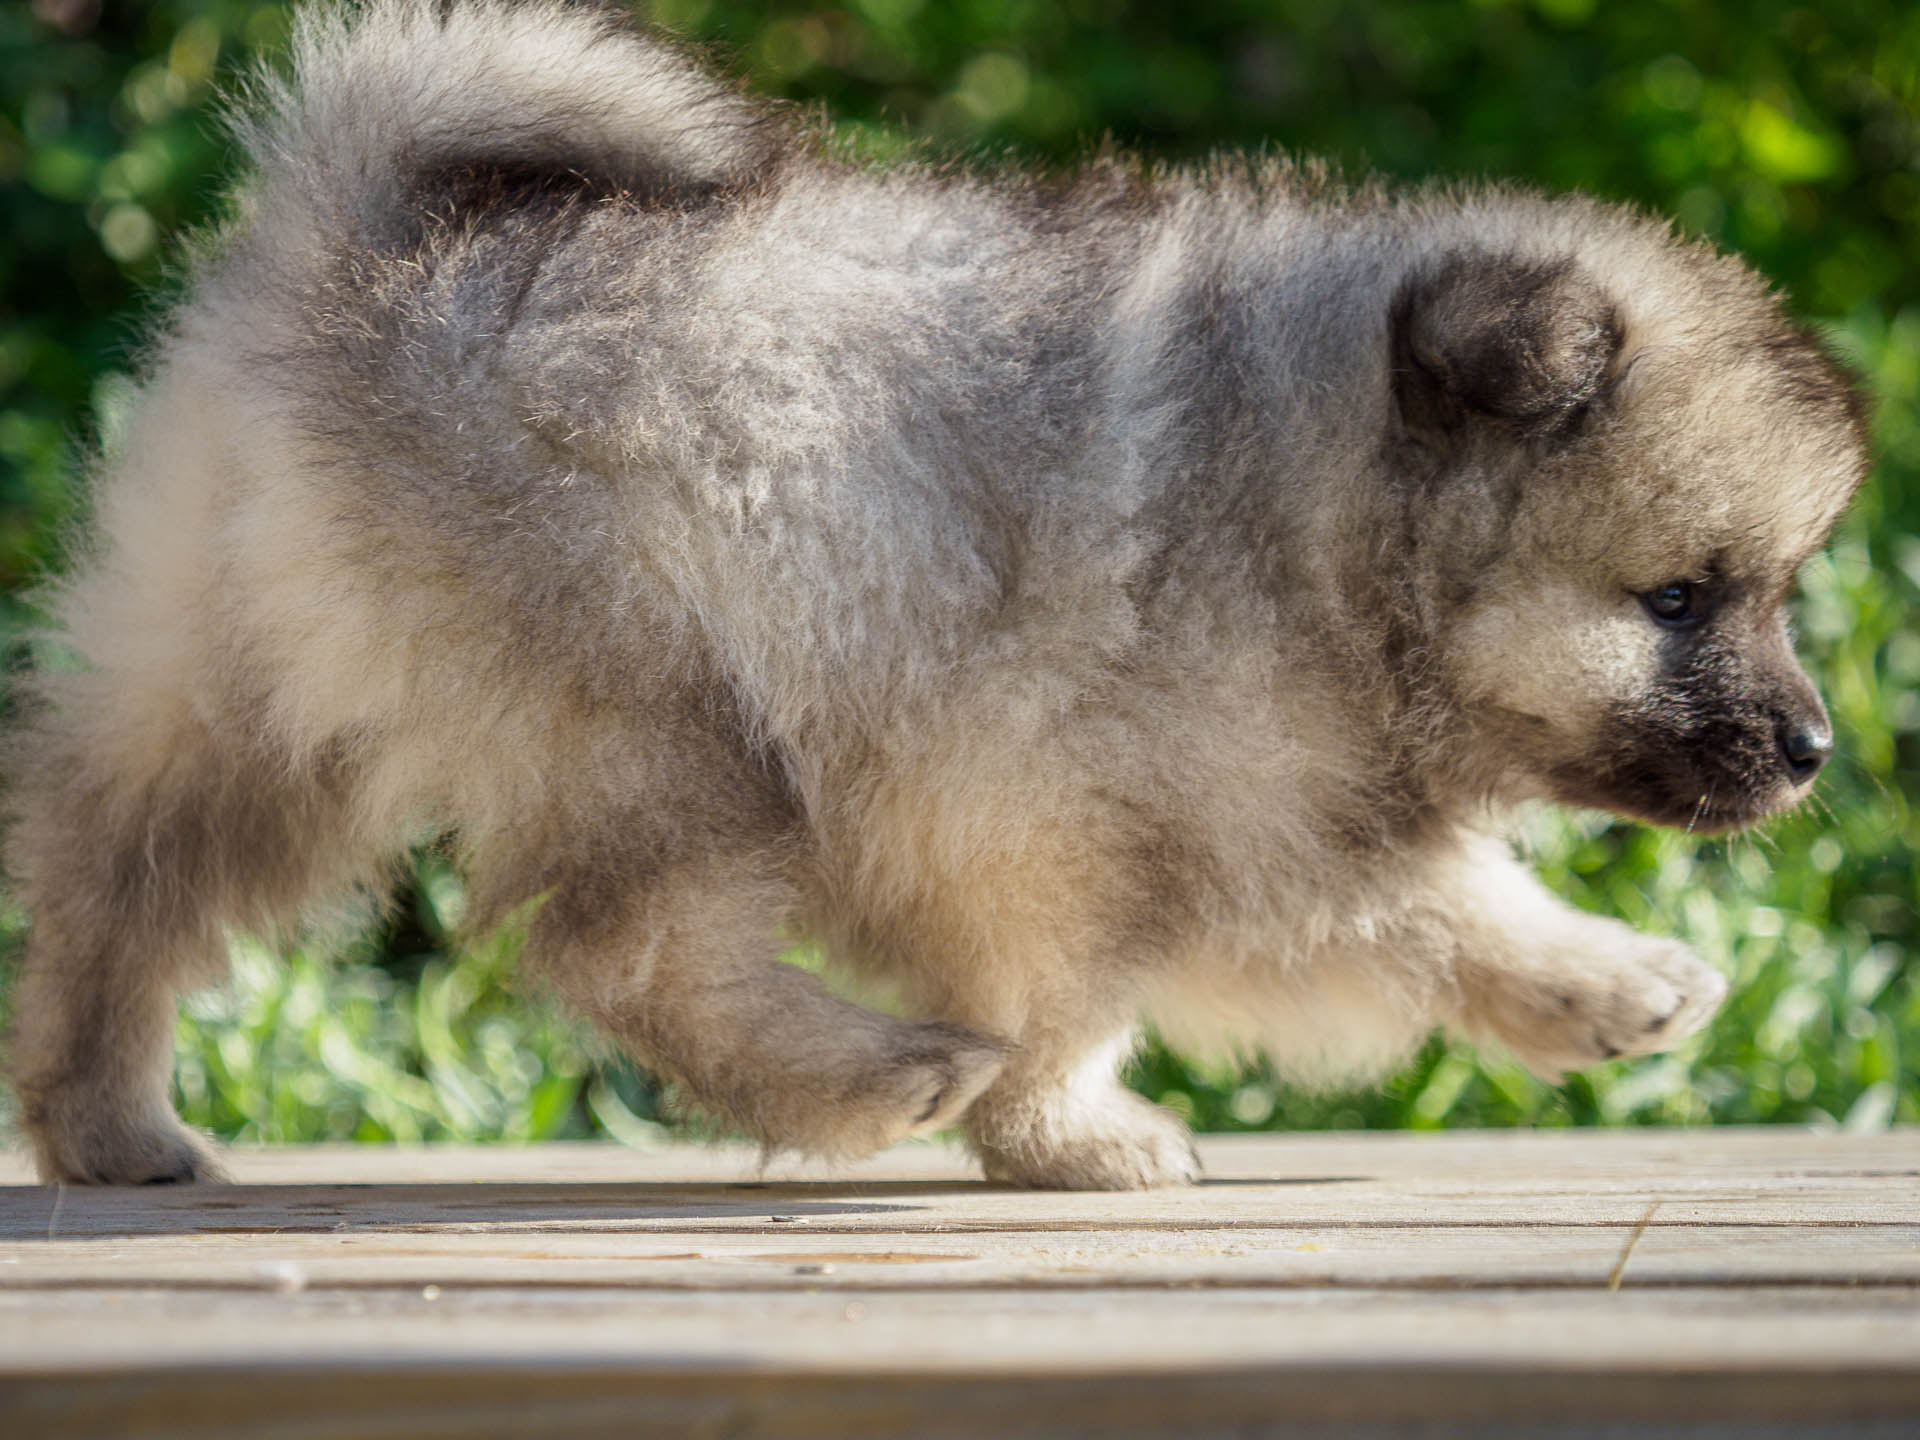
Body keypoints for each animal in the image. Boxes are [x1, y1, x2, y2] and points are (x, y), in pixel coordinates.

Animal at [0, 5, 1858, 1190]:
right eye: (1679, 598)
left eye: (1776, 591)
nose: (1815, 751)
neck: (1312, 504)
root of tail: (357, 242)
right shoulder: (1042, 810)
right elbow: (1080, 998)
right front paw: (1072, 1138)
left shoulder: (1272, 811)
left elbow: (1436, 905)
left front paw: (1602, 986)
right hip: (662, 726)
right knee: (620, 949)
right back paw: (876, 1077)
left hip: (241, 698)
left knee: (117, 884)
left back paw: (108, 1129)